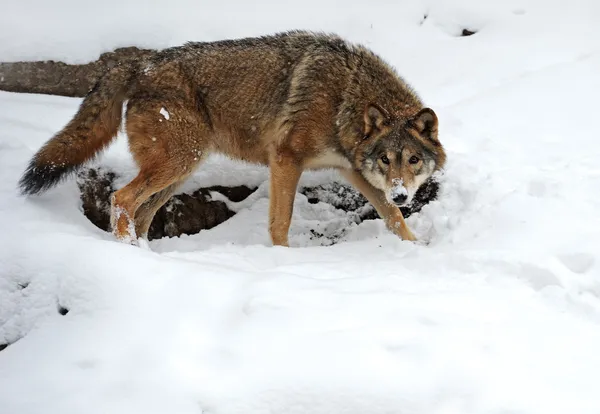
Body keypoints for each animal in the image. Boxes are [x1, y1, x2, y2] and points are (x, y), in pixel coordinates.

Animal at [17, 32, 446, 247]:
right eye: (387, 159)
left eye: (412, 160)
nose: (403, 193)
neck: (346, 98)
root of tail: (138, 63)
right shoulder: (285, 159)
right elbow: (280, 223)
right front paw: (282, 260)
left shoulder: (353, 171)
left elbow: (391, 217)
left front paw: (415, 248)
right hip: (177, 164)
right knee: (121, 199)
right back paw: (126, 253)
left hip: (178, 173)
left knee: (141, 215)